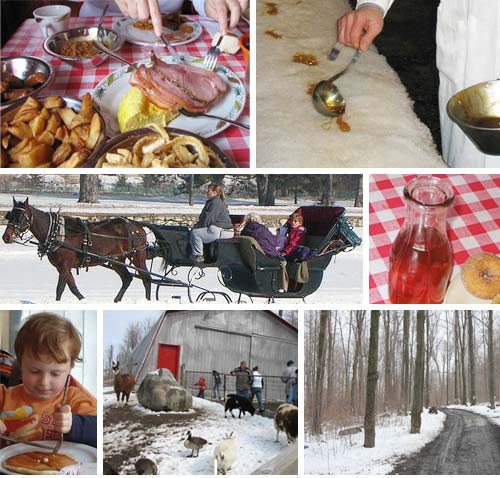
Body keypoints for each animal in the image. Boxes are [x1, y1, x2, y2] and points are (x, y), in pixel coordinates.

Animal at [2, 196, 151, 300]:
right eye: (10, 215)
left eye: (20, 217)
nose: (6, 237)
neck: (56, 232)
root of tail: (137, 225)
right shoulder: (62, 267)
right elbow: (73, 287)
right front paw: (83, 300)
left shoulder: (64, 265)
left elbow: (60, 289)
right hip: (116, 259)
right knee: (127, 278)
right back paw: (116, 300)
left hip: (137, 256)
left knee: (146, 278)